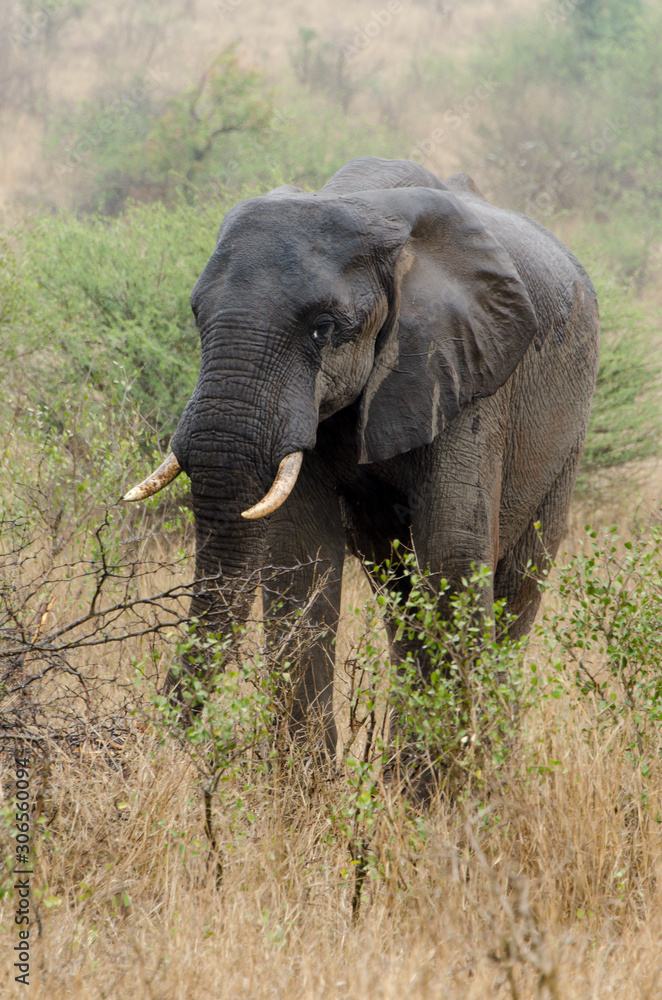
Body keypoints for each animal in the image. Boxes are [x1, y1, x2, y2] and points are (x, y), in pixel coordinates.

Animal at [124, 152, 600, 752]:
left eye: (323, 329)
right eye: (195, 316)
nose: (150, 743)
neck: (359, 205)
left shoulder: (470, 368)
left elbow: (453, 553)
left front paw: (446, 778)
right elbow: (299, 557)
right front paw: (307, 777)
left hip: (567, 433)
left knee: (517, 587)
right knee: (401, 604)